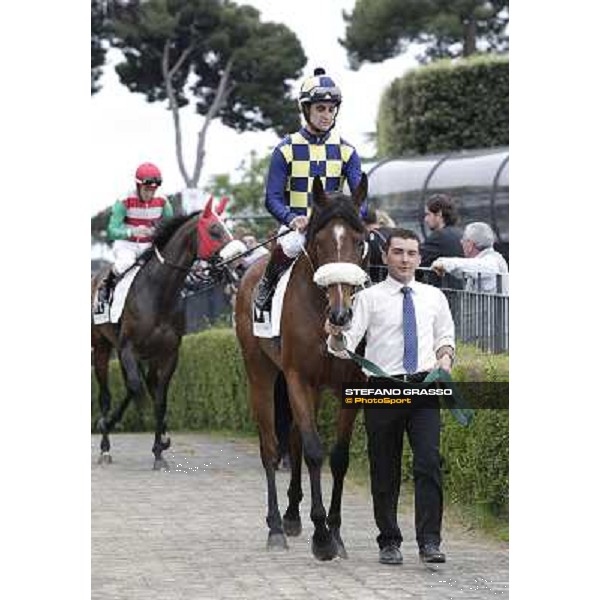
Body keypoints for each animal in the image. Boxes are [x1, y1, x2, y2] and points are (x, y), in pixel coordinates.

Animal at [91, 197, 237, 468]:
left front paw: (159, 449)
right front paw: (112, 425)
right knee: (106, 394)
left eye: (227, 227)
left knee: (144, 383)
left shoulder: (169, 352)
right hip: (102, 347)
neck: (158, 293)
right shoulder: (127, 348)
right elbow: (134, 388)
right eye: (214, 230)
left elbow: (159, 398)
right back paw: (105, 444)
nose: (238, 263)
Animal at [236, 176, 368, 560]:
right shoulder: (298, 378)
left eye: (360, 241)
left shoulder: (348, 384)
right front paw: (321, 537)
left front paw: (335, 533)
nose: (341, 315)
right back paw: (276, 526)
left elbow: (338, 457)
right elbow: (313, 450)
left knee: (292, 436)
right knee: (270, 445)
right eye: (320, 243)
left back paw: (293, 516)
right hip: (260, 371)